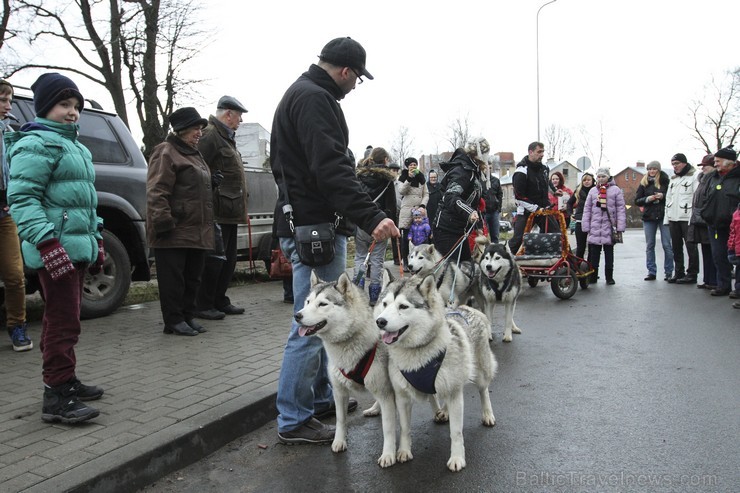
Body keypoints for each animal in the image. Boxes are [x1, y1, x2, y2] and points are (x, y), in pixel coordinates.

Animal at [294, 270, 398, 468]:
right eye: (308, 302)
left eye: (323, 304)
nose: (297, 316)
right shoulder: (339, 391)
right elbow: (340, 419)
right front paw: (339, 441)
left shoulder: (384, 390)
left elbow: (389, 427)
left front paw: (388, 454)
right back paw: (375, 409)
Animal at [376, 270, 498, 470]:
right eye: (385, 304)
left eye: (403, 306)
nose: (380, 321)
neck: (418, 351)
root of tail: (468, 308)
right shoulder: (402, 397)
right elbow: (405, 428)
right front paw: (404, 451)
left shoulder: (455, 393)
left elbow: (456, 432)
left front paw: (457, 458)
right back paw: (445, 412)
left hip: (480, 373)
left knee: (483, 391)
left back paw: (487, 414)